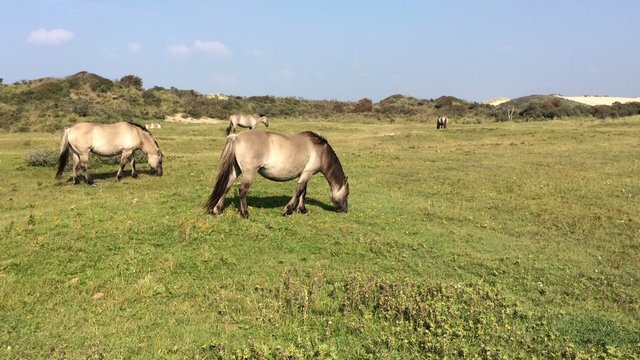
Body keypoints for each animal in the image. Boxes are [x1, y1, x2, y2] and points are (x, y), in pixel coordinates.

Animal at [205, 131, 350, 218]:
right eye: (347, 194)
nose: (345, 210)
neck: (320, 151)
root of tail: (236, 137)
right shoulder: (307, 173)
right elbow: (299, 191)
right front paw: (288, 210)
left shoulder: (304, 174)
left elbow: (303, 192)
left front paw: (302, 210)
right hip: (248, 172)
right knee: (242, 190)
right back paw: (245, 213)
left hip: (236, 170)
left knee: (226, 187)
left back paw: (218, 210)